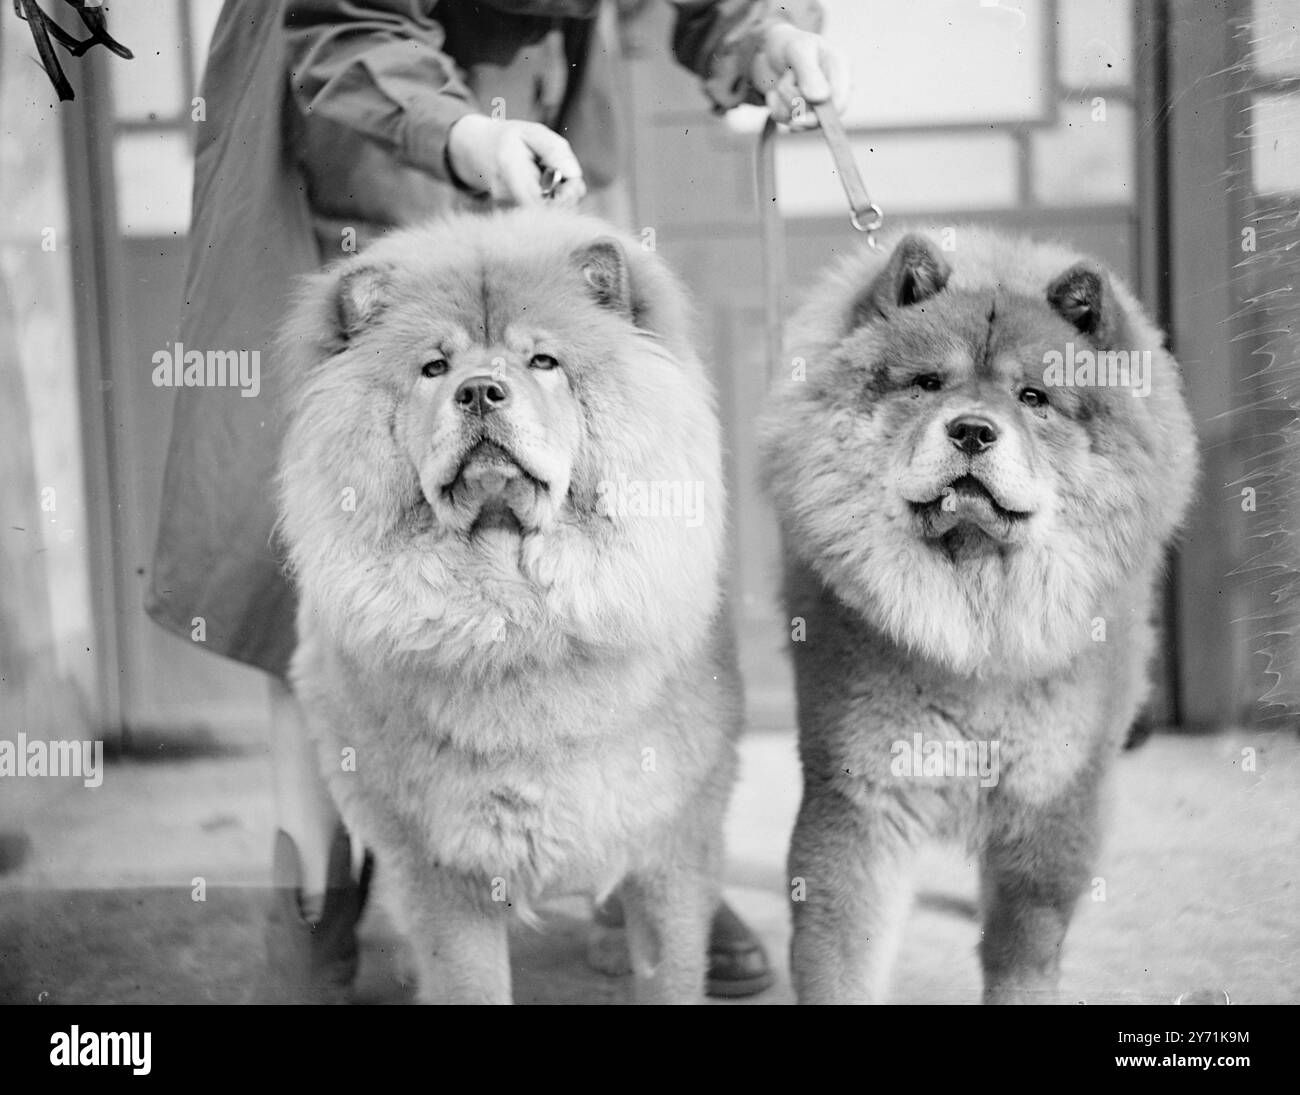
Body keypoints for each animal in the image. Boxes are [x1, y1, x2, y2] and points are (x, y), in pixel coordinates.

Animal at [276, 209, 743, 1003]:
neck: (517, 618)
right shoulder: (444, 867)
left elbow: (671, 972)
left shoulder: (671, 848)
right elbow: (469, 981)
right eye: (435, 369)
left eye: (543, 361)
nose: (480, 392)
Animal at [759, 228, 1196, 998]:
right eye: (928, 383)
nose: (970, 430)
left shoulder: (1050, 802)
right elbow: (840, 955)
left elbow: (1024, 951)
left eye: (1034, 396)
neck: (978, 619)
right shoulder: (862, 799)